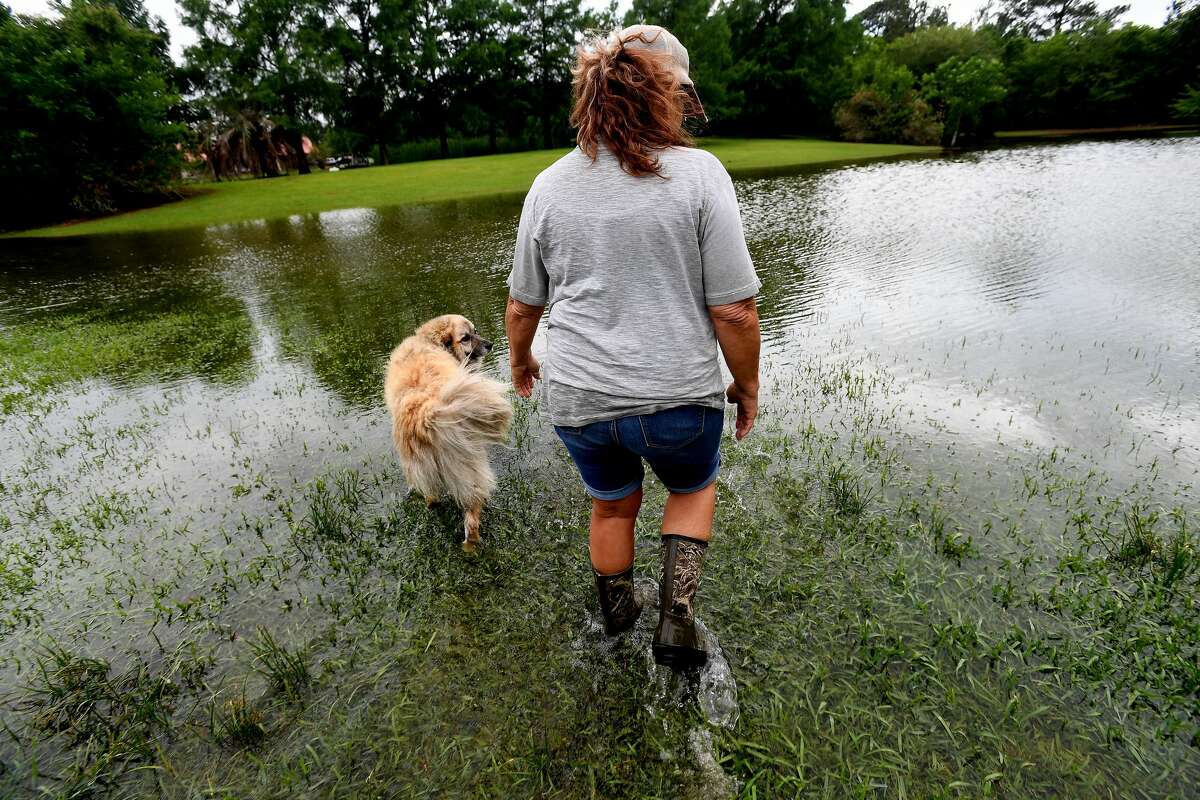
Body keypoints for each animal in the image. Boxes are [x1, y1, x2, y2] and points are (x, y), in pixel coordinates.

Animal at [386, 314, 513, 551]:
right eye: (465, 338)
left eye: (476, 330)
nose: (490, 344)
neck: (429, 341)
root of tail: (426, 412)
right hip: (469, 471)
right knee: (472, 520)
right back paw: (472, 547)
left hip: (425, 474)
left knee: (433, 499)